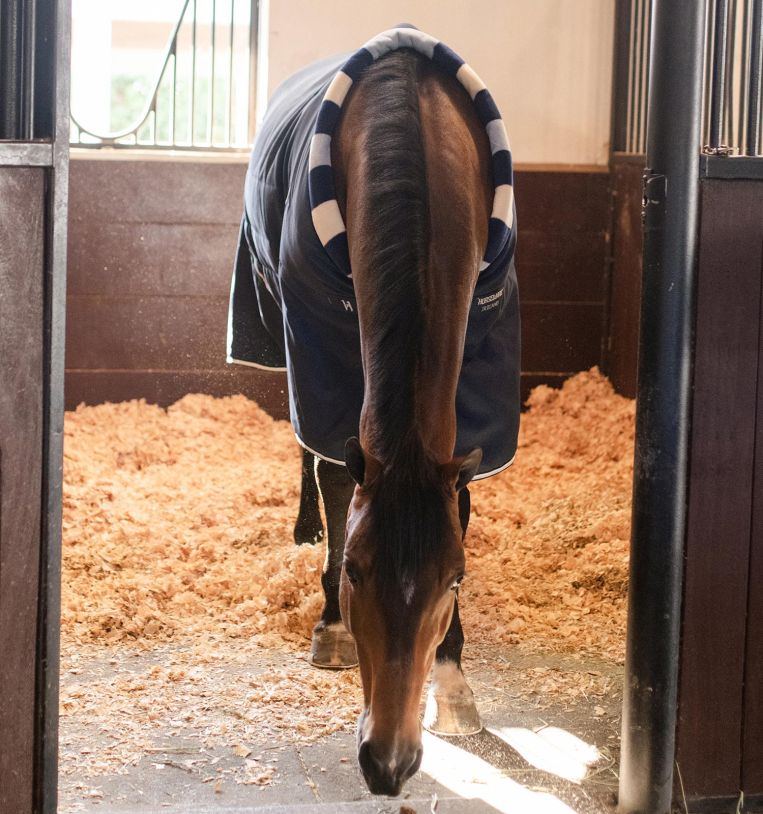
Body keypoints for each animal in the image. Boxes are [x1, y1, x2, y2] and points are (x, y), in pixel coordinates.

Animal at [228, 26, 519, 797]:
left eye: (453, 577)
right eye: (358, 571)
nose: (388, 764)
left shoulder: (479, 360)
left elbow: (462, 497)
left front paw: (453, 681)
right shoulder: (319, 339)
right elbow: (337, 475)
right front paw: (330, 623)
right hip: (275, 322)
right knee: (304, 444)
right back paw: (303, 526)